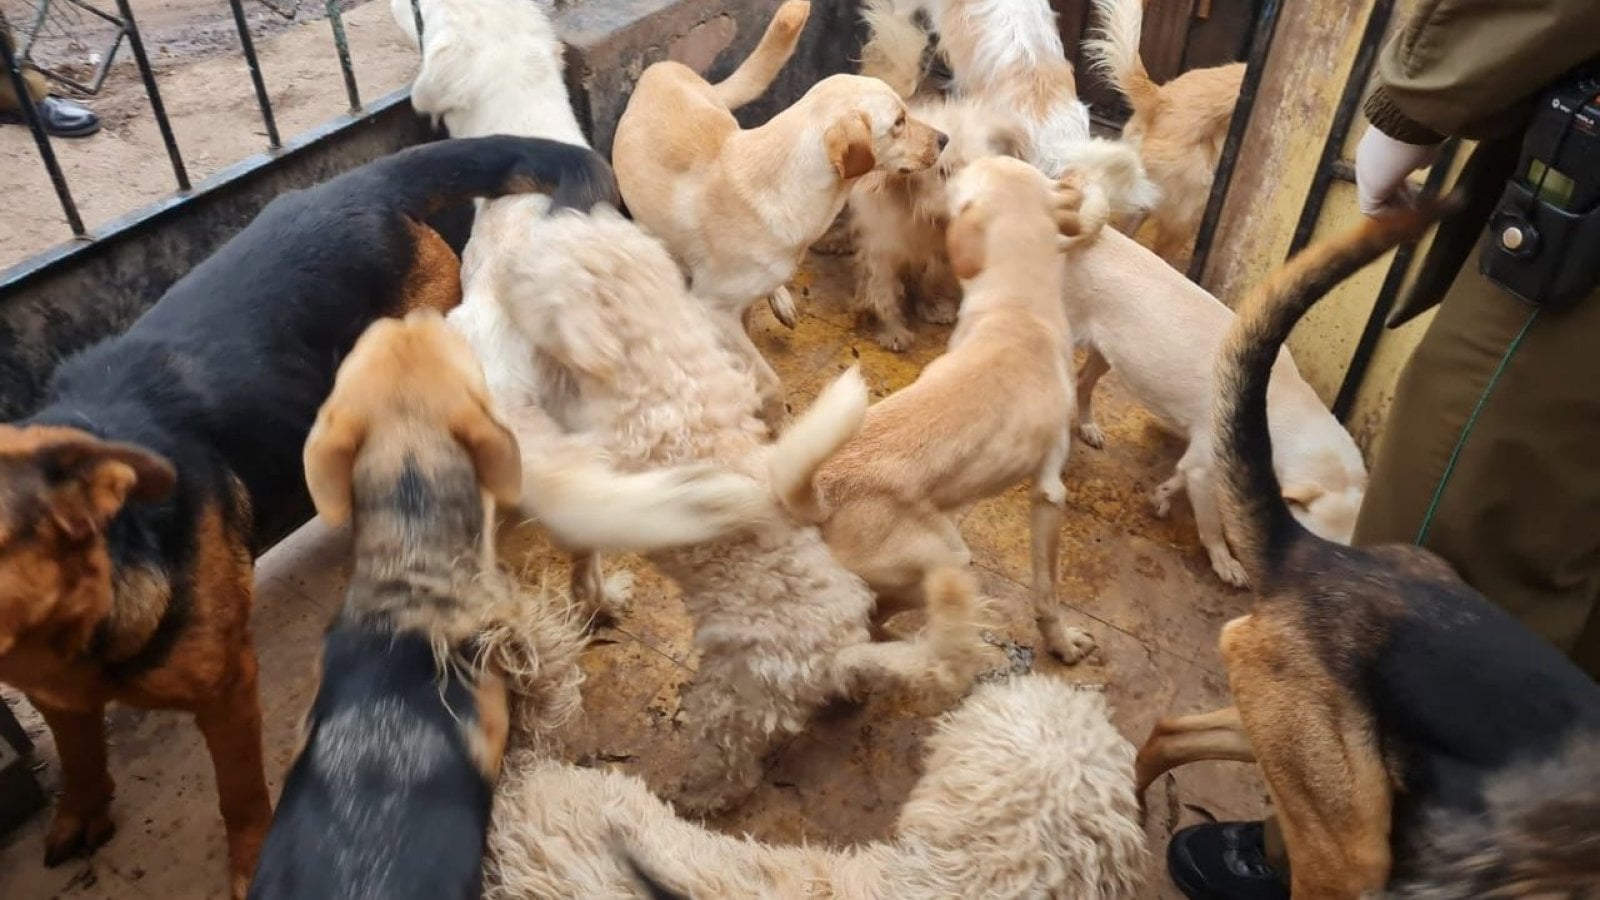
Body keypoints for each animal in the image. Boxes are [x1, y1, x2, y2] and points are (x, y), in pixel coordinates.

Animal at [611, 0, 947, 426]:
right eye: (899, 122)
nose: (944, 139)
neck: (786, 183)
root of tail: (661, 68)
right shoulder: (712, 308)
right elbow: (769, 381)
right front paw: (782, 423)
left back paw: (782, 299)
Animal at [783, 156, 1102, 663]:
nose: (949, 153)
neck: (1018, 307)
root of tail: (817, 496)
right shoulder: (1050, 493)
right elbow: (1048, 591)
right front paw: (1064, 642)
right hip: (951, 558)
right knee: (874, 621)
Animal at [1063, 227, 1366, 587]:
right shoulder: (1207, 470)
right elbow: (1212, 525)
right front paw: (1225, 563)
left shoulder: (1198, 462)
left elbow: (1178, 479)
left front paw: (1161, 495)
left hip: (1107, 352)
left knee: (1083, 383)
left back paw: (1087, 426)